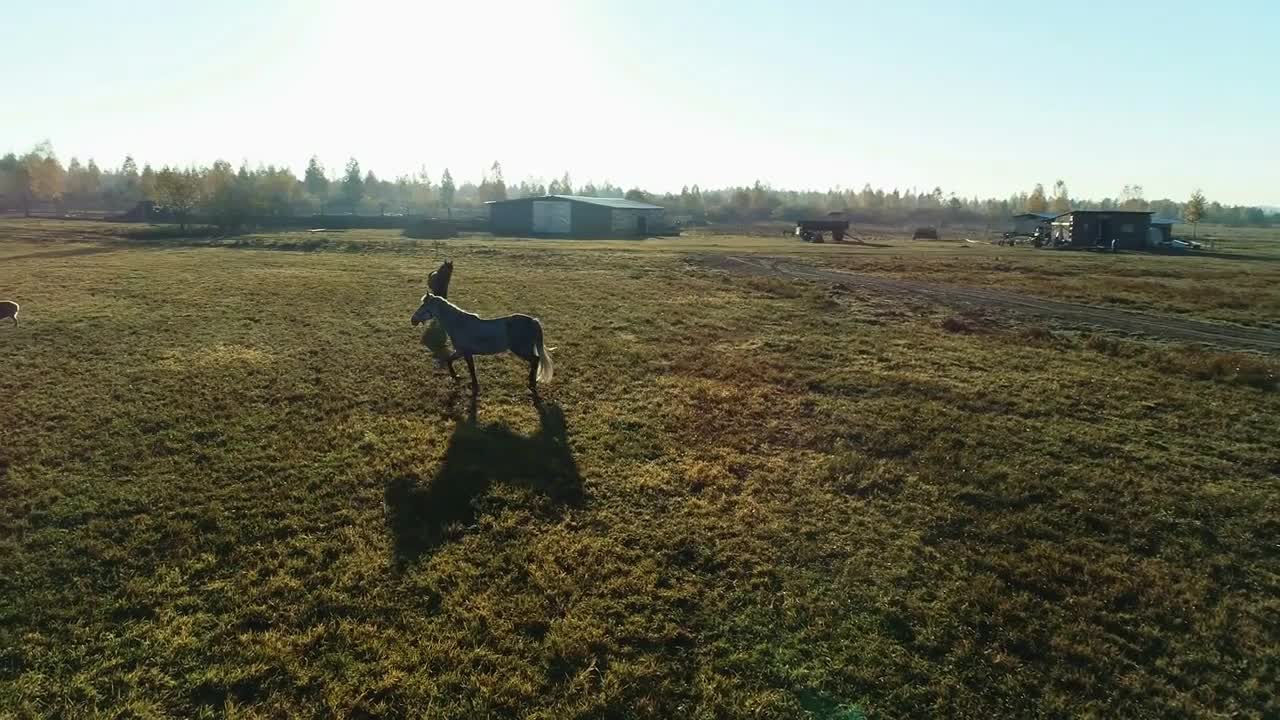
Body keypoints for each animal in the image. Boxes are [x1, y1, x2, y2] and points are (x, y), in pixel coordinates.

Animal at [409, 289, 550, 394]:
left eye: (423, 306)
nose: (413, 320)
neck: (459, 324)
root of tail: (533, 321)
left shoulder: (465, 352)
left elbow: (470, 369)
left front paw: (473, 385)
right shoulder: (460, 351)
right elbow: (449, 360)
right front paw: (456, 377)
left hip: (521, 350)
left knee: (535, 360)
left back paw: (532, 383)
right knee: (535, 361)